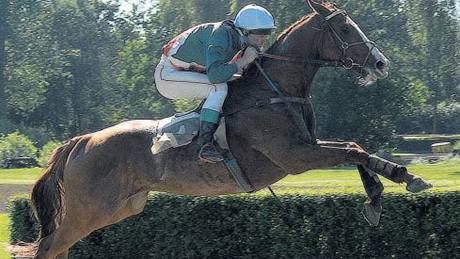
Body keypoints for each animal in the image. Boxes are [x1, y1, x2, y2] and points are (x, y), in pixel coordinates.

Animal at [31, 1, 432, 258]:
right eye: (346, 27)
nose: (381, 63)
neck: (274, 91)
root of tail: (81, 141)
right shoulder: (295, 156)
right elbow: (352, 150)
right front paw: (386, 190)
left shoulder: (309, 144)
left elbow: (354, 146)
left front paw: (398, 180)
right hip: (90, 207)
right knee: (50, 247)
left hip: (119, 207)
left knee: (60, 247)